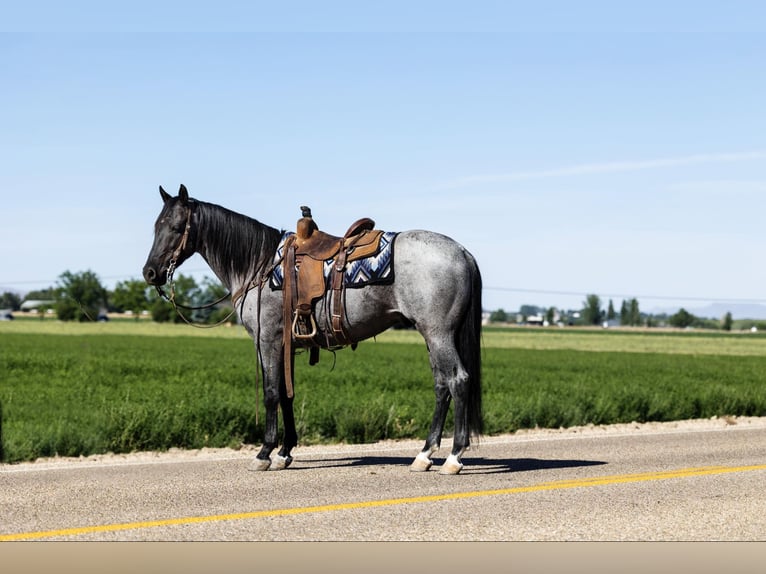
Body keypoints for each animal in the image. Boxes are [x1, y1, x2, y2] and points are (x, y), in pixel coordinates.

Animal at [142, 184, 483, 475]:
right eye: (157, 226)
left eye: (176, 227)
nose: (150, 273)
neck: (259, 265)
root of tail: (462, 251)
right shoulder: (286, 345)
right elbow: (286, 394)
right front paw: (284, 453)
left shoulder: (267, 341)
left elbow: (271, 393)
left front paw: (264, 453)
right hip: (432, 335)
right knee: (441, 385)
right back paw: (424, 455)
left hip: (438, 333)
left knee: (458, 380)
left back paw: (454, 457)